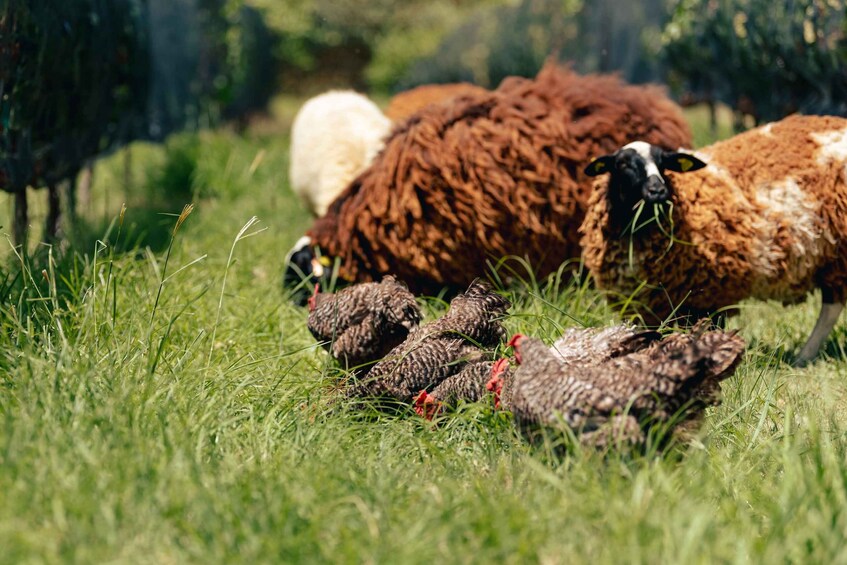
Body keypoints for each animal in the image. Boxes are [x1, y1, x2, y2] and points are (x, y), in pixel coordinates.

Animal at [580, 113, 847, 366]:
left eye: (663, 163)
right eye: (623, 164)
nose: (658, 191)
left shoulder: (711, 293)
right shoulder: (646, 304)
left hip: (837, 252)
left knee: (831, 307)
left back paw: (804, 357)